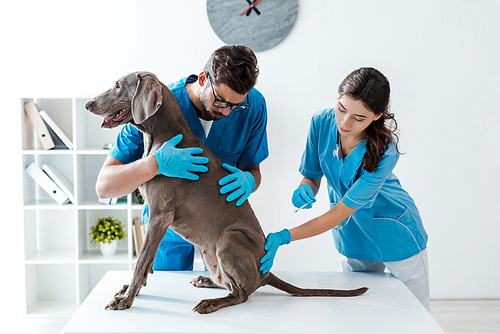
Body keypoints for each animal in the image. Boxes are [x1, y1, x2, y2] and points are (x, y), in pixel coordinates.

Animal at [86, 72, 368, 314]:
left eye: (118, 85)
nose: (88, 104)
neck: (162, 136)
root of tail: (266, 273)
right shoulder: (157, 219)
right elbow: (147, 264)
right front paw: (131, 292)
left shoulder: (160, 215)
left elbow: (140, 262)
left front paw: (125, 300)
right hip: (210, 251)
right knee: (230, 284)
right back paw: (206, 281)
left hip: (228, 239)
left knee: (241, 294)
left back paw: (210, 303)